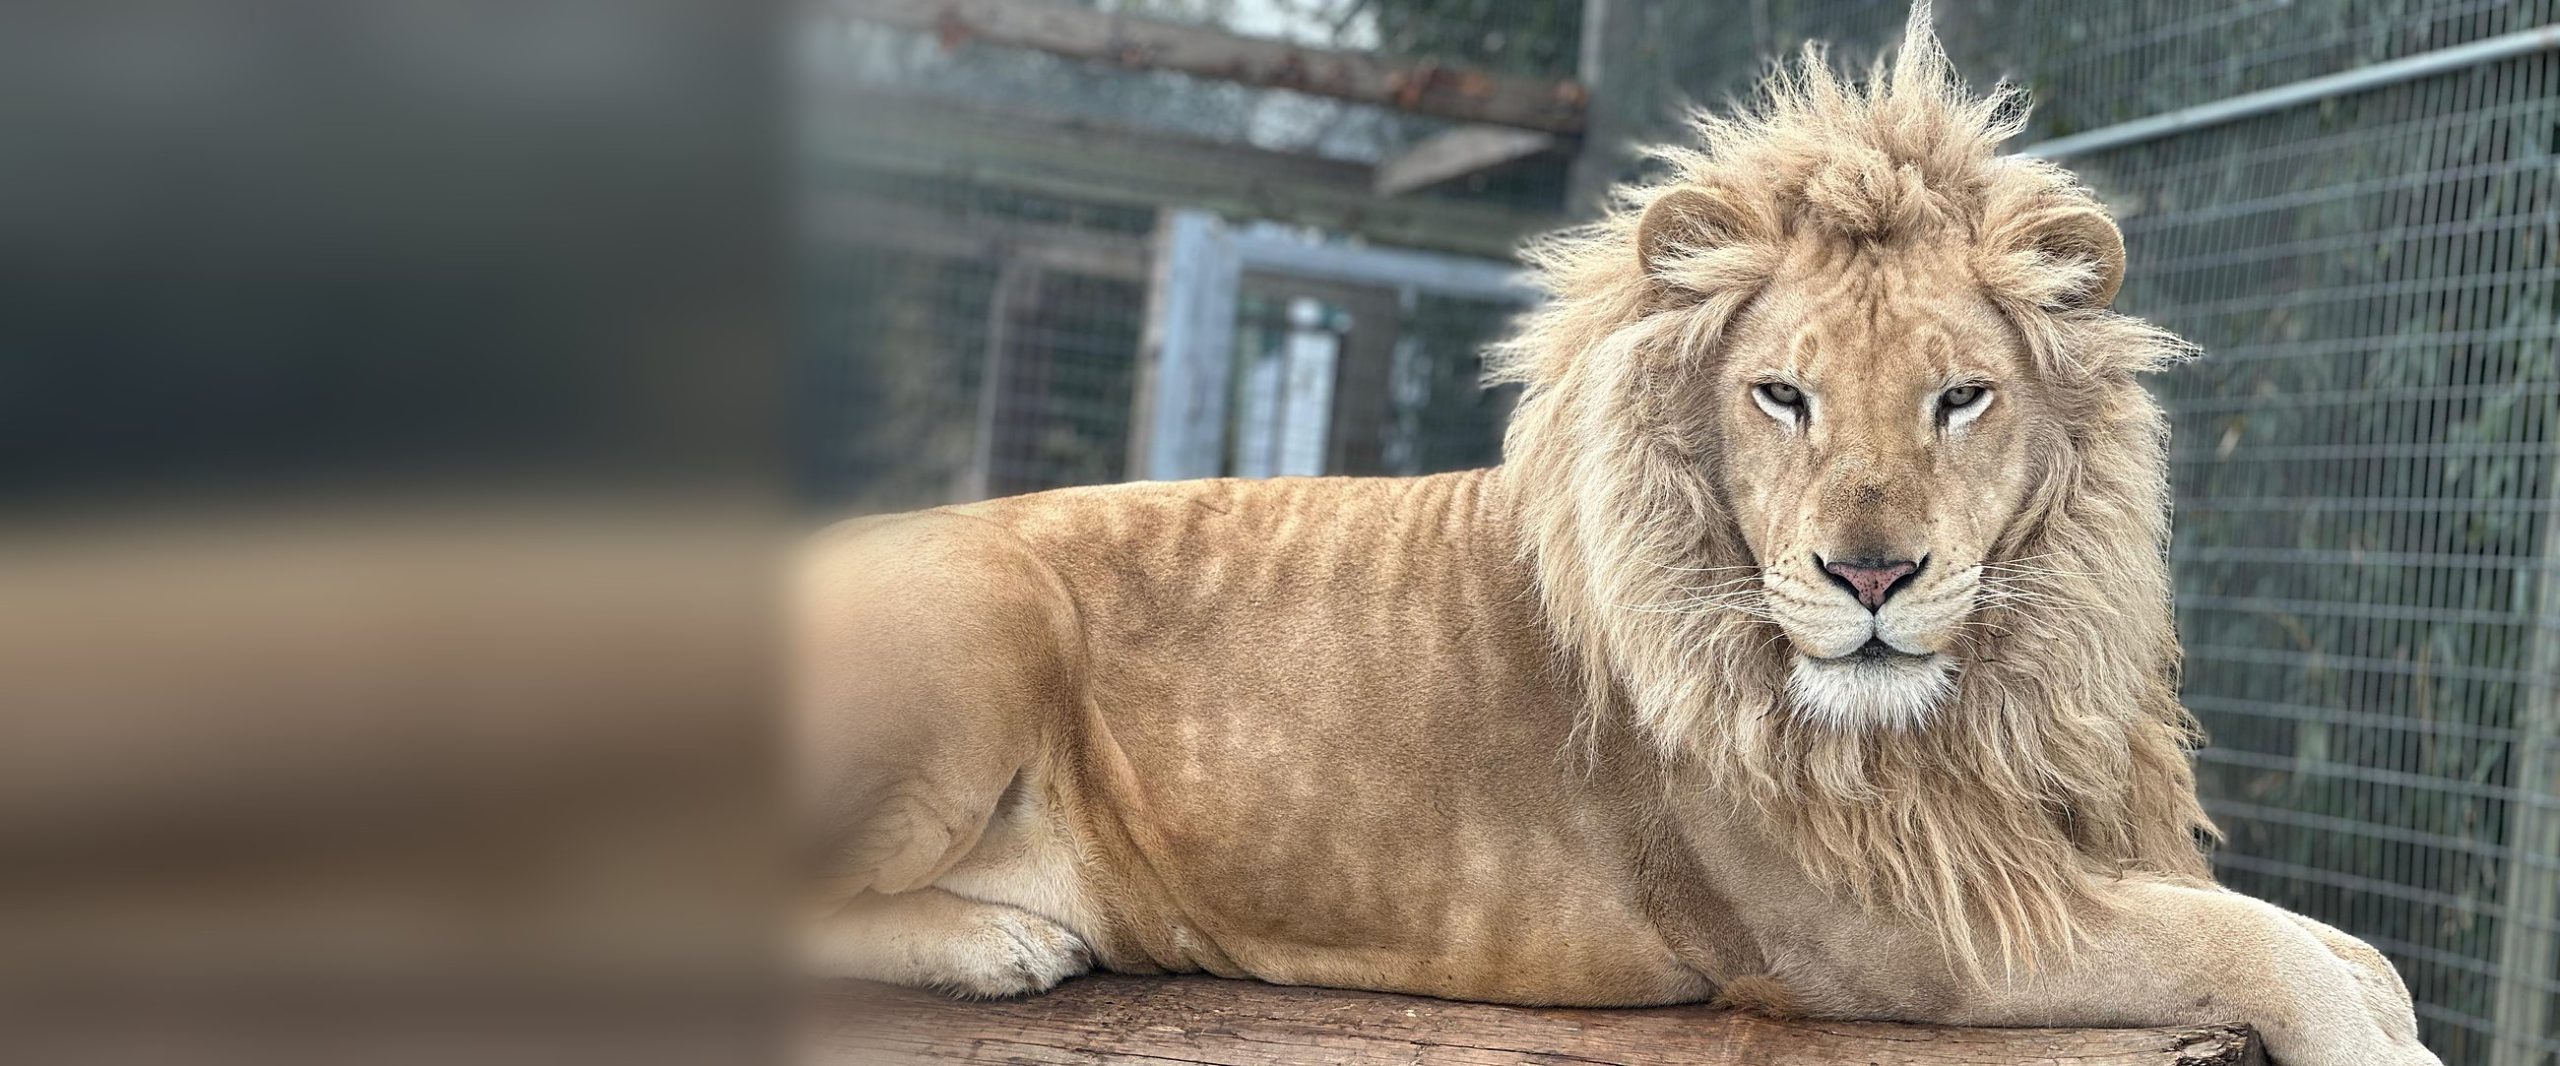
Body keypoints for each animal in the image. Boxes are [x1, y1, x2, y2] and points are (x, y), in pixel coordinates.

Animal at [798, 8, 2439, 1064]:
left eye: (1961, 397)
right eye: (1782, 394)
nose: (1870, 575)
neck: (1964, 696)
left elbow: (2341, 944)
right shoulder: (1879, 929)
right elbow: (2257, 947)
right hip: (983, 613)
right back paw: (1004, 943)